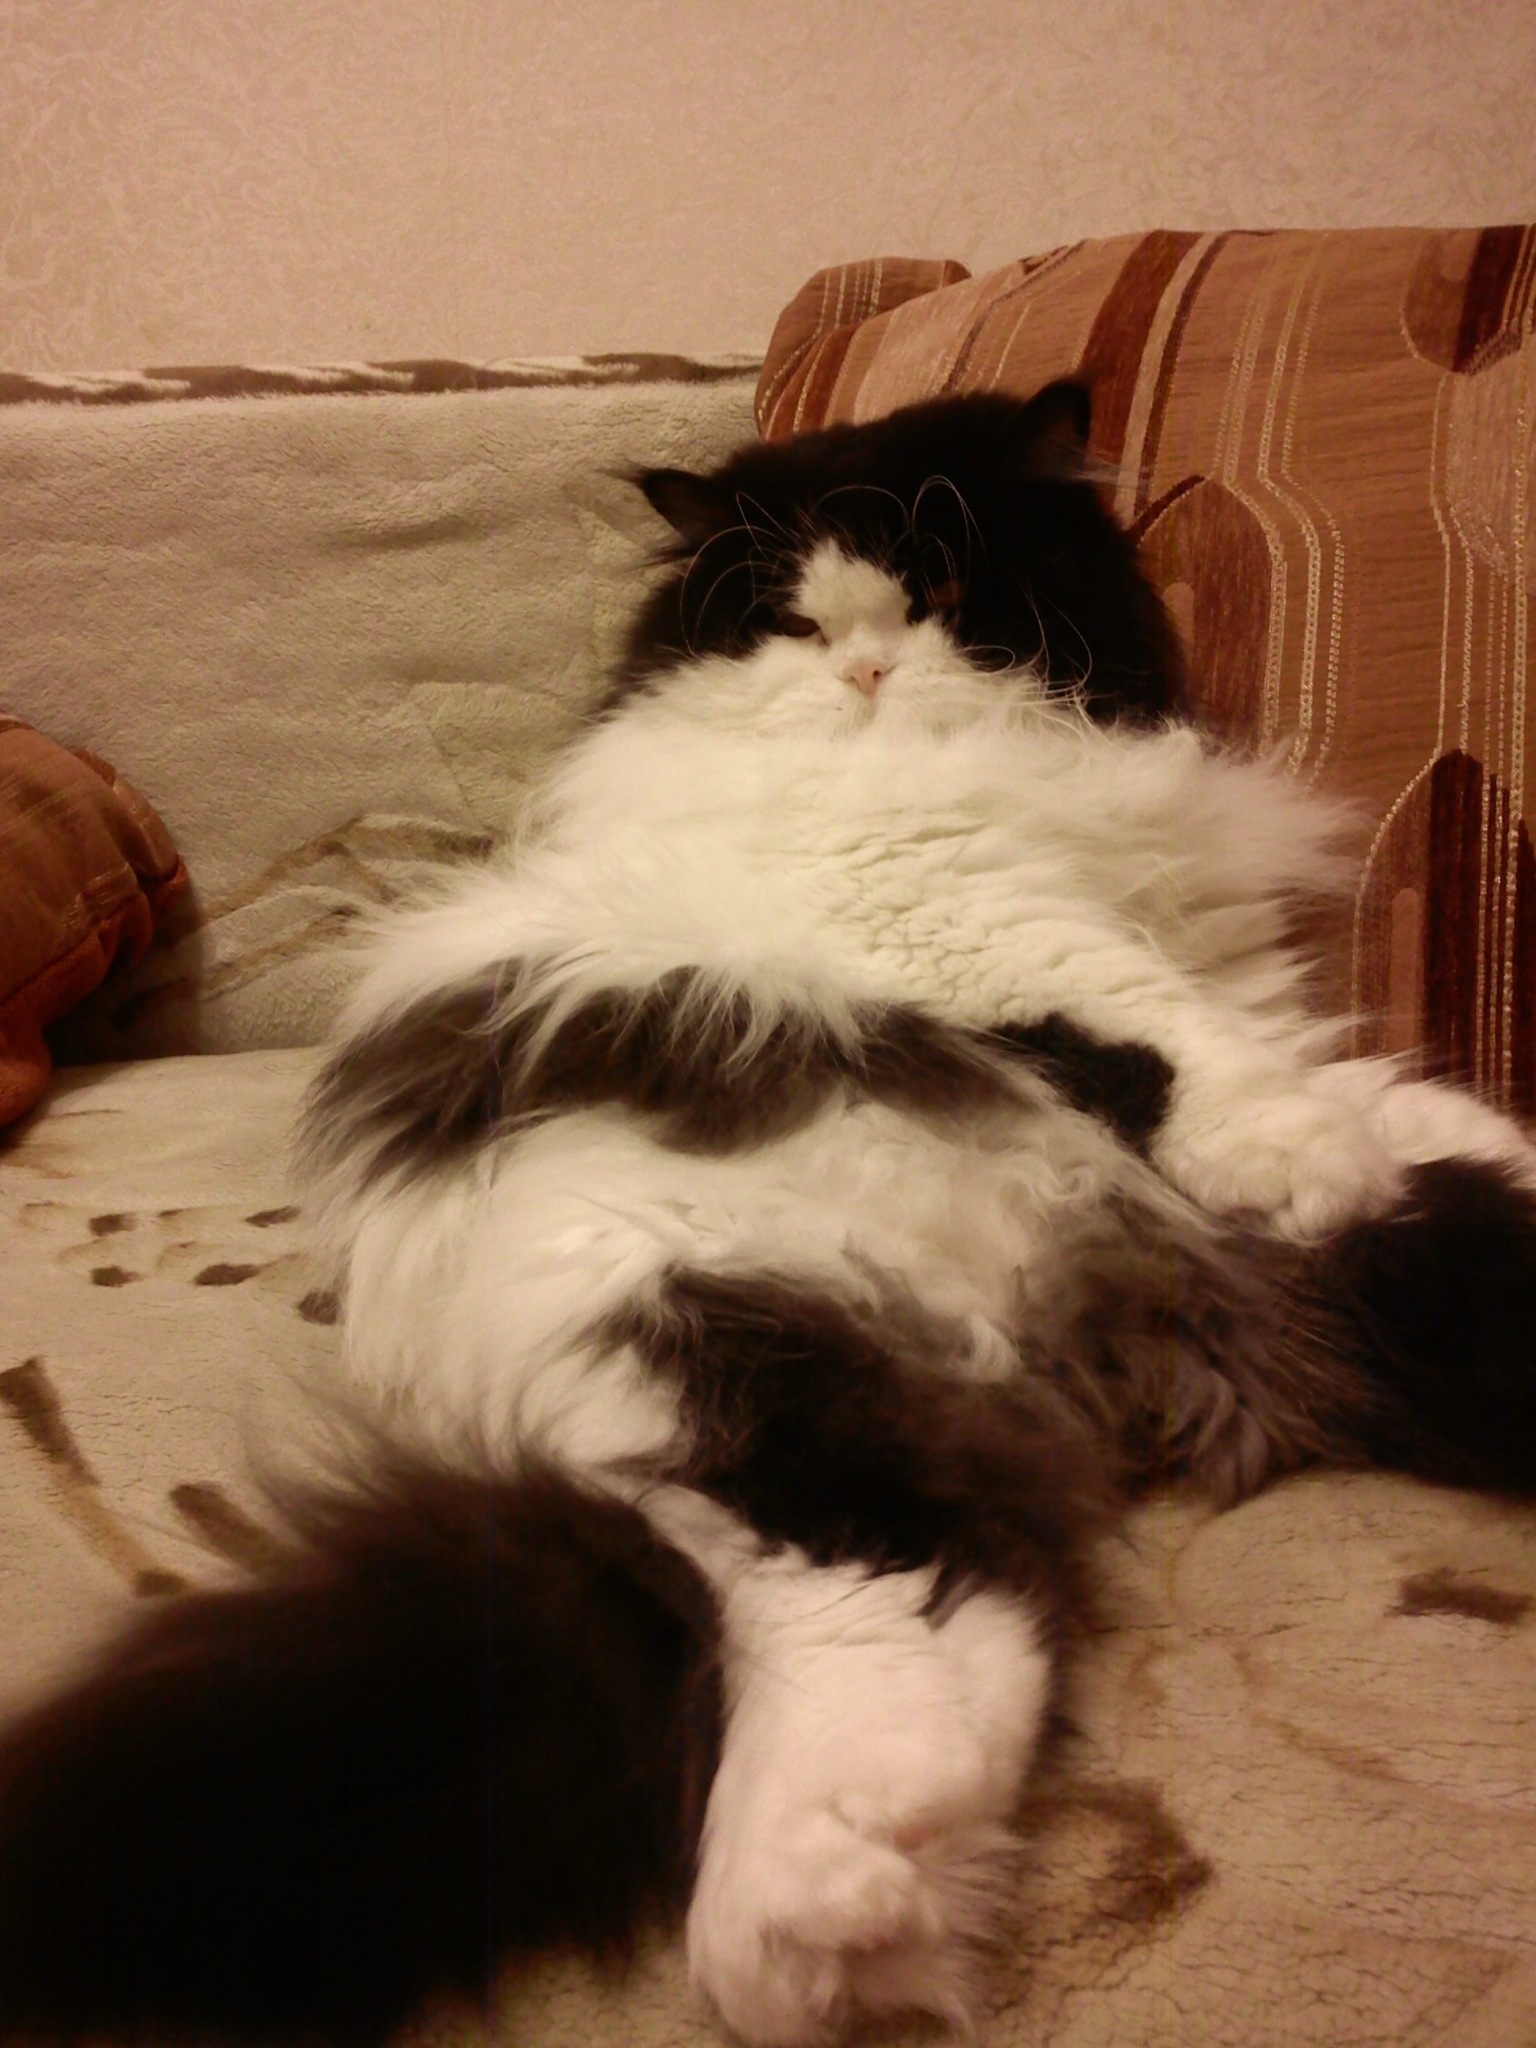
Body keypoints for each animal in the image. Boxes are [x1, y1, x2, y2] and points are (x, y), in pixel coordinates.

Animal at [2, 381, 1535, 2048]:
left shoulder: (1199, 944)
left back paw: (871, 1889)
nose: (867, 670)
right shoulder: (987, 934)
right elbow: (1179, 1042)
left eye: (936, 591)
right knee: (828, 1591)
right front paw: (1314, 1156)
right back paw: (810, 1918)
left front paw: (1433, 1135)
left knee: (962, 1592)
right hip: (703, 1339)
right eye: (796, 625)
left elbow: (1307, 1060)